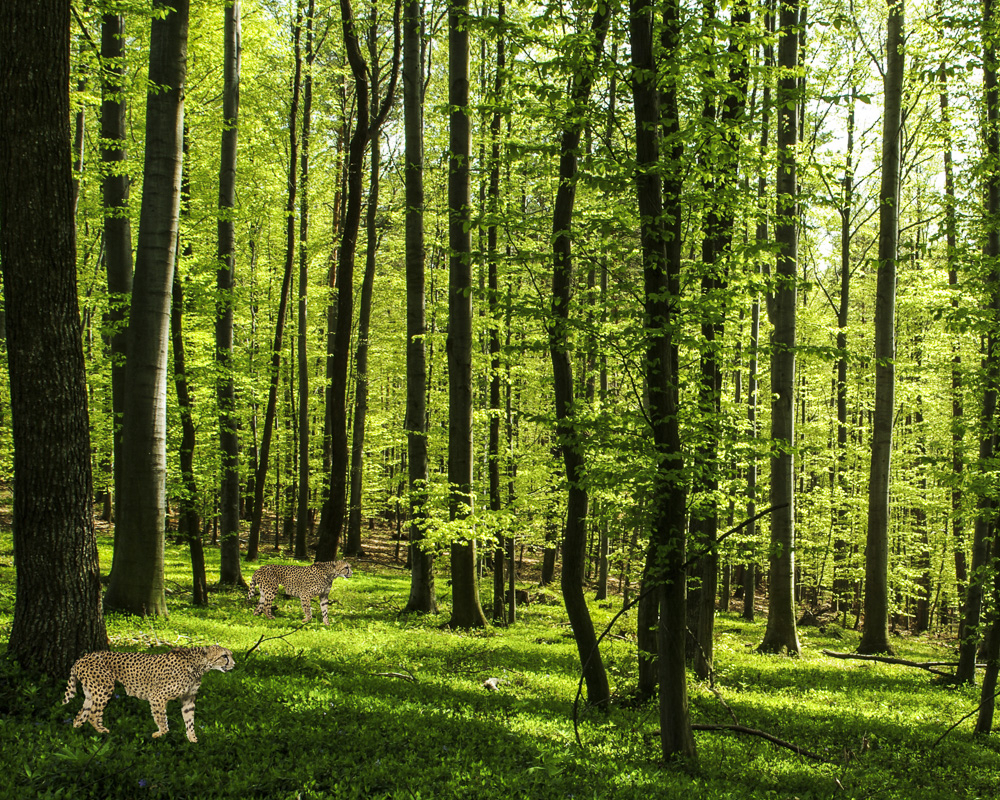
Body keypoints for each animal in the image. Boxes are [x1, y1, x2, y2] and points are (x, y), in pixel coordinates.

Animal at [63, 644, 236, 744]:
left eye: (230, 655)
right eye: (224, 656)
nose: (234, 664)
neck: (199, 665)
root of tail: (81, 658)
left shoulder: (188, 698)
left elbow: (189, 720)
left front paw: (193, 740)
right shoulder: (157, 696)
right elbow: (162, 719)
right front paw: (159, 734)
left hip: (91, 692)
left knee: (81, 713)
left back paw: (76, 731)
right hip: (103, 688)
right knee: (93, 714)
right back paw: (102, 732)